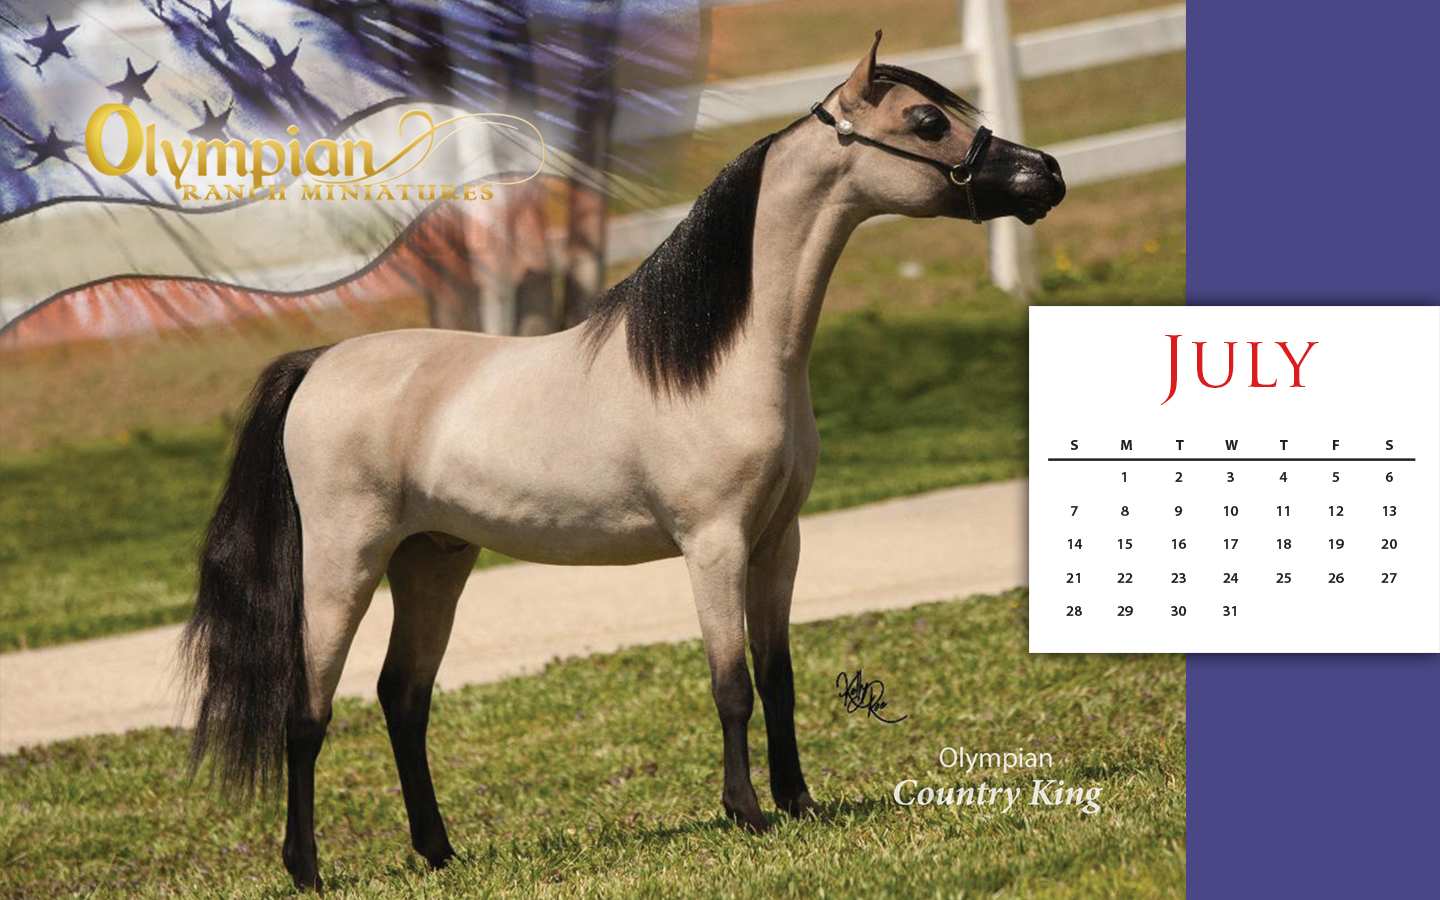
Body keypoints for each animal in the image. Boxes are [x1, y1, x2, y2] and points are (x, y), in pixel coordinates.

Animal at [181, 32, 1065, 890]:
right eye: (926, 120)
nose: (1045, 174)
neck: (727, 359)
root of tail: (318, 363)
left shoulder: (779, 541)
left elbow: (776, 676)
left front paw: (800, 803)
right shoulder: (713, 544)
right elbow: (730, 683)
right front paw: (747, 813)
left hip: (432, 559)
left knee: (404, 697)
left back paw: (438, 851)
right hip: (345, 563)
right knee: (309, 712)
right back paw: (306, 868)